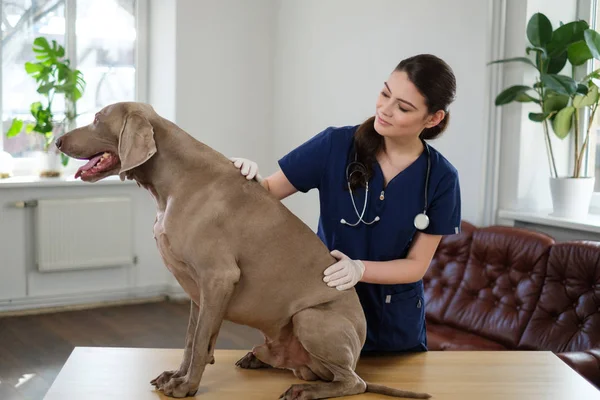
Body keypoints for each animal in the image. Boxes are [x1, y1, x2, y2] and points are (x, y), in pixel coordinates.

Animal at [56, 103, 432, 400]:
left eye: (97, 118)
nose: (56, 141)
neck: (174, 180)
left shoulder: (219, 277)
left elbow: (201, 342)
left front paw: (187, 386)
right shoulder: (197, 289)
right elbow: (191, 339)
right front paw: (176, 376)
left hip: (311, 318)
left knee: (354, 382)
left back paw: (306, 390)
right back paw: (262, 360)